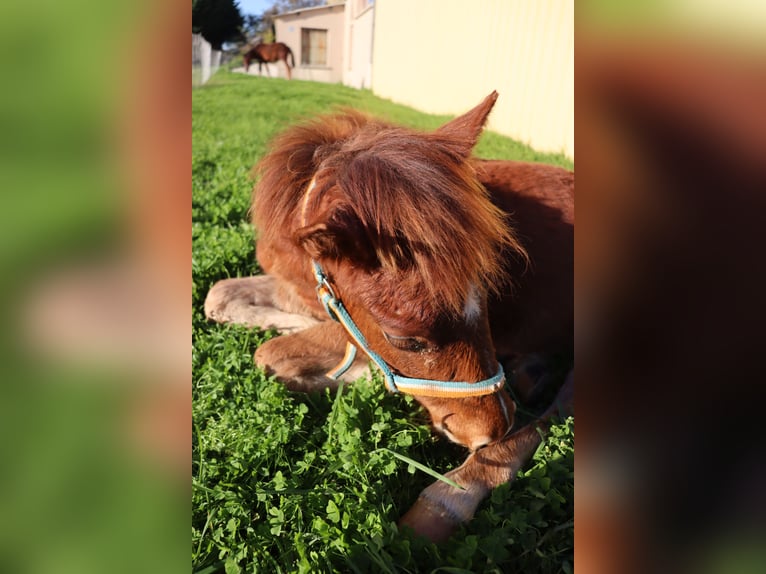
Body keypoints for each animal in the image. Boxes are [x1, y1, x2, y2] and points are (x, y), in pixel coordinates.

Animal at [206, 92, 576, 544]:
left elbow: (271, 354)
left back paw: (445, 499)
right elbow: (219, 297)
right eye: (404, 340)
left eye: (490, 297)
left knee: (558, 408)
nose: (492, 429)